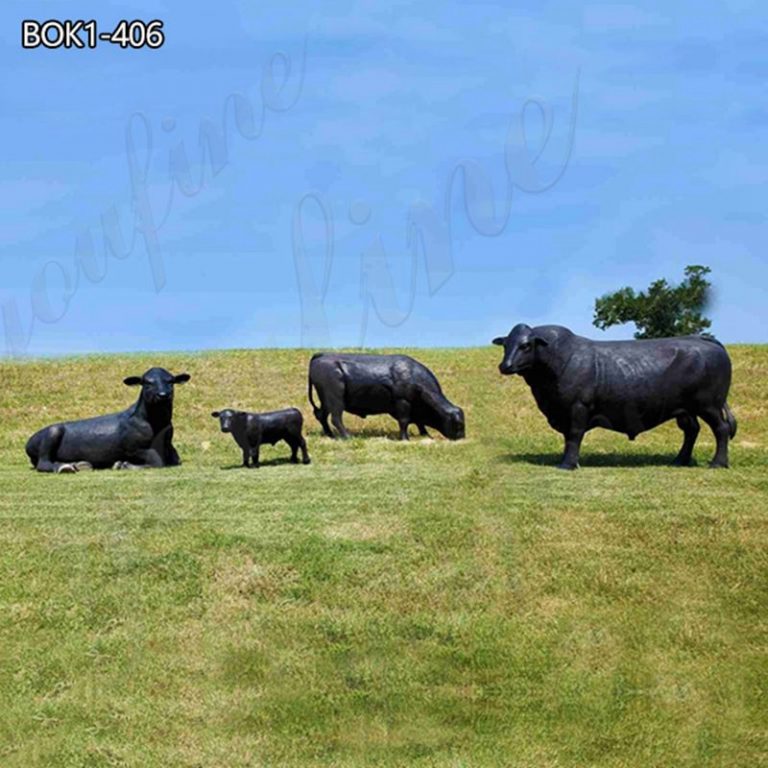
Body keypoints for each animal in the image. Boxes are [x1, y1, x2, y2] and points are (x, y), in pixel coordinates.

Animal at [25, 367, 191, 473]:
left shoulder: (168, 446)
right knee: (43, 462)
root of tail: (29, 442)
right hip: (53, 432)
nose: (163, 395)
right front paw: (123, 465)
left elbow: (176, 460)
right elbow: (157, 461)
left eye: (171, 381)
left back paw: (79, 465)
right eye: (147, 383)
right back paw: (64, 467)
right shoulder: (133, 448)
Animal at [308, 353, 465, 440]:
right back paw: (347, 437)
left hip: (326, 400)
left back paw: (330, 435)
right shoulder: (402, 402)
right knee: (336, 418)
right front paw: (405, 438)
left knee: (322, 415)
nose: (462, 438)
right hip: (336, 400)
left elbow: (418, 422)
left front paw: (425, 434)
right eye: (459, 424)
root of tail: (322, 355)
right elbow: (404, 421)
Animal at [492, 324, 736, 470]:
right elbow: (568, 437)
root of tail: (704, 340)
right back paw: (679, 461)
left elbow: (574, 435)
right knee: (691, 430)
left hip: (709, 405)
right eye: (506, 345)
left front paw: (568, 464)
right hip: (685, 409)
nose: (505, 366)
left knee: (721, 429)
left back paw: (718, 463)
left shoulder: (578, 406)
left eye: (525, 345)